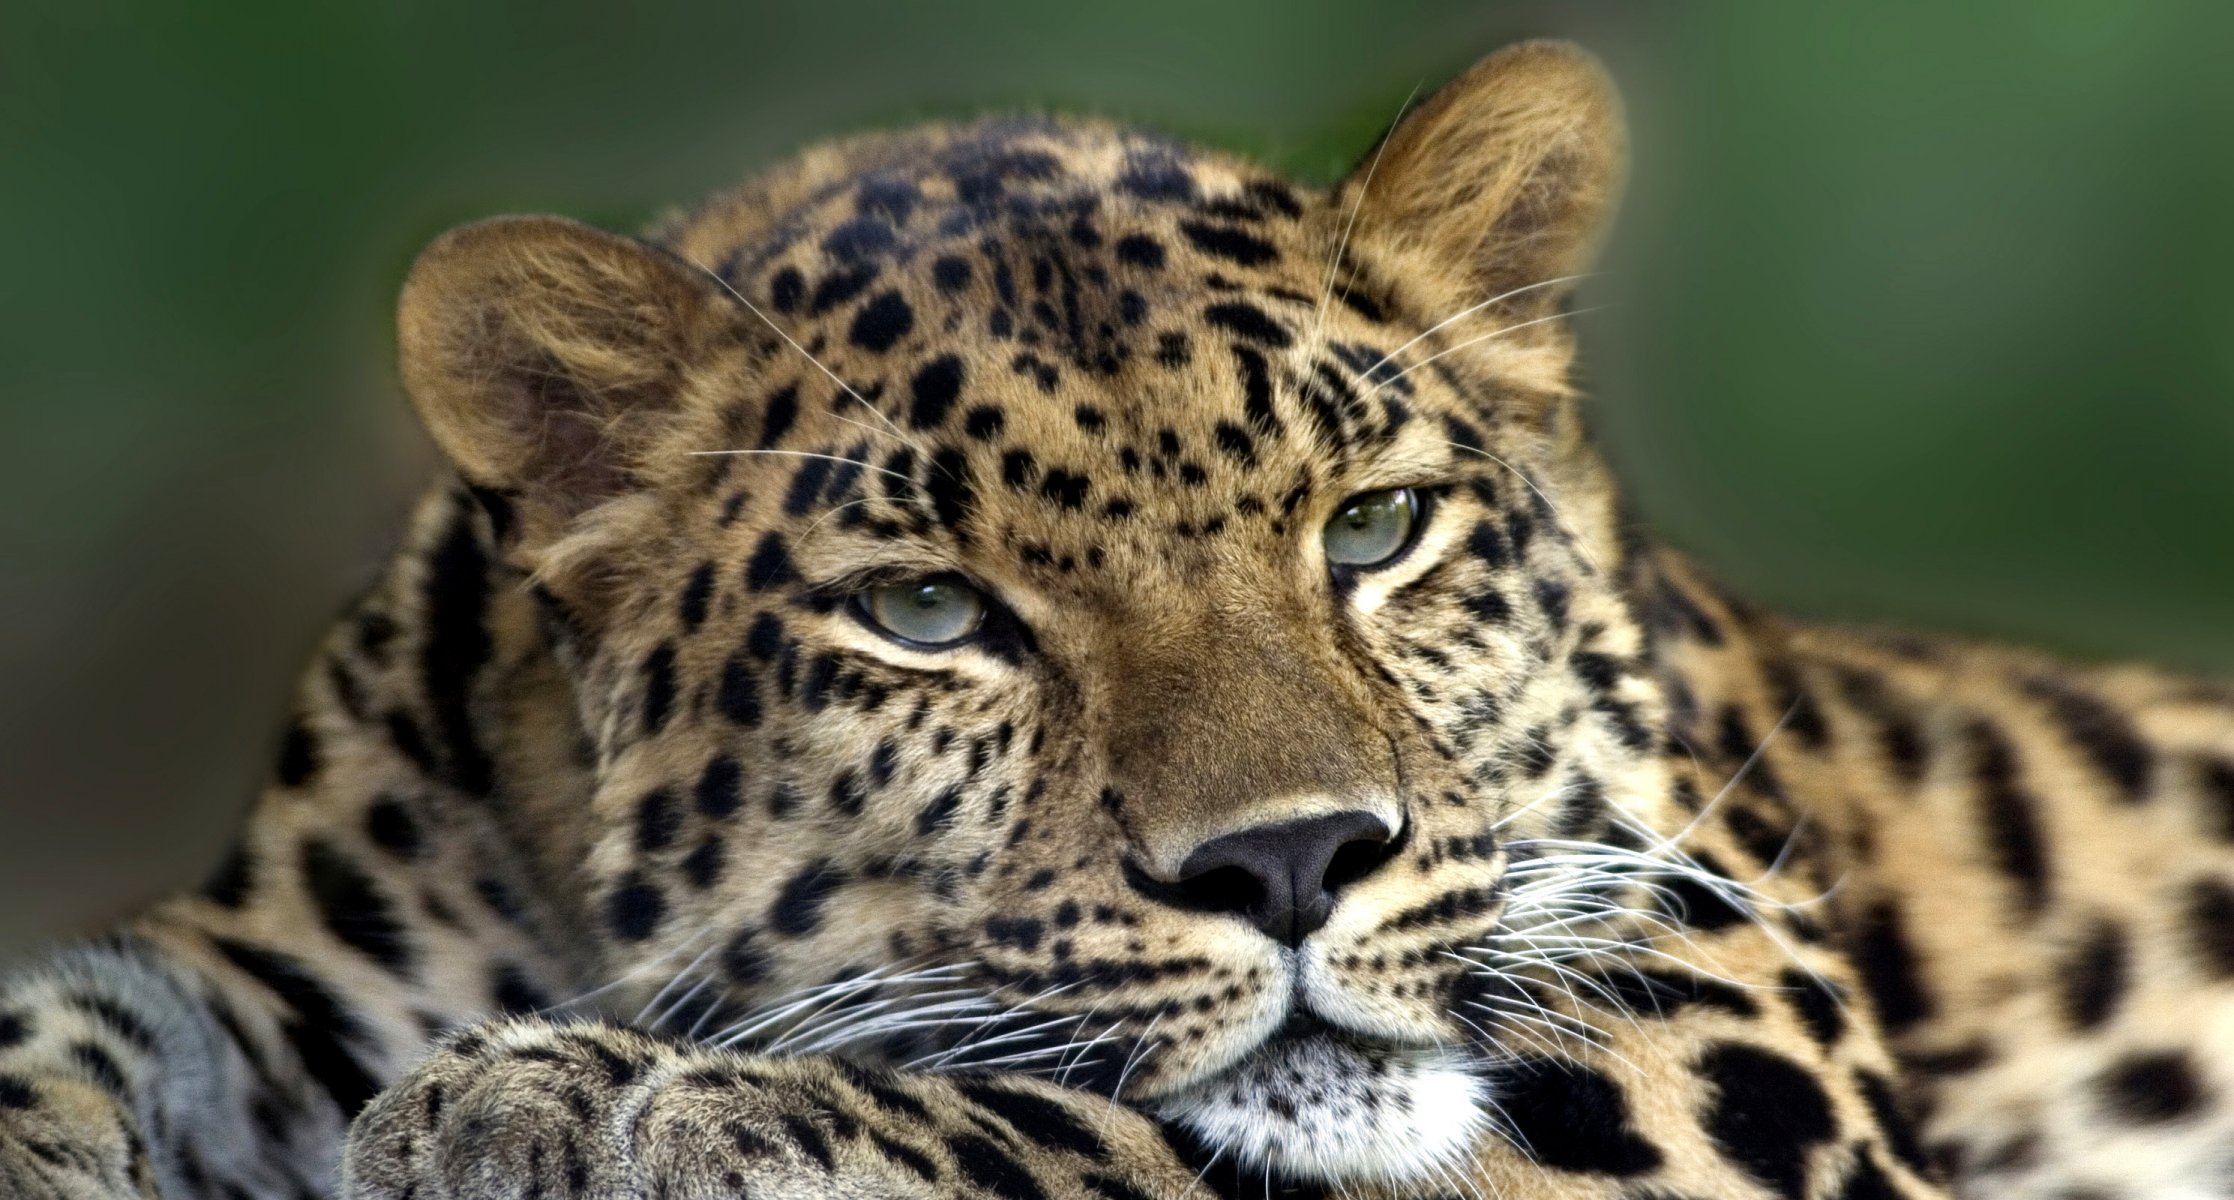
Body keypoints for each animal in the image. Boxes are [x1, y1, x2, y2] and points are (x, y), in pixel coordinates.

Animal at [3, 39, 2232, 1200]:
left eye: (1374, 528)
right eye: (928, 613)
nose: (1294, 863)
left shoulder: (1719, 1017)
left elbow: (1111, 1133)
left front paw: (618, 1104)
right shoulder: (287, 961)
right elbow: (75, 1013)